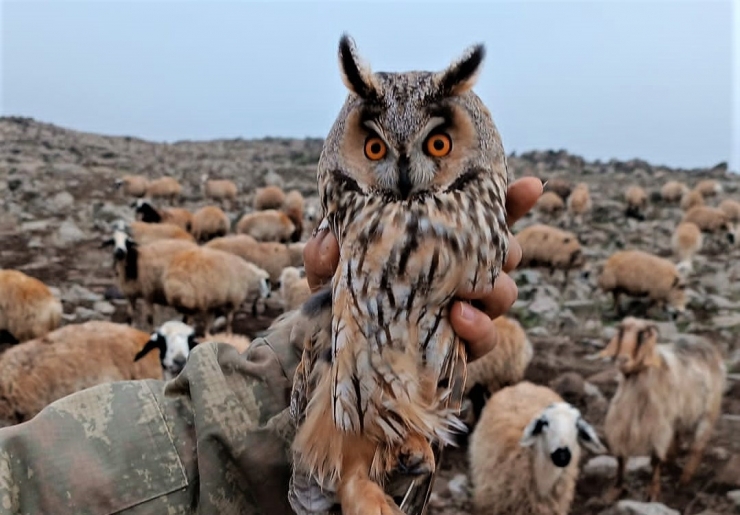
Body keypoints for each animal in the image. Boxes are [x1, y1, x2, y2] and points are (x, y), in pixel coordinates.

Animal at [596, 318, 724, 504]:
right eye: (621, 332)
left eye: (642, 335)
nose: (622, 360)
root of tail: (704, 341)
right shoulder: (621, 425)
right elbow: (620, 458)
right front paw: (614, 491)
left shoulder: (658, 427)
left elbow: (655, 459)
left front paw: (653, 492)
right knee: (677, 436)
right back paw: (672, 459)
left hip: (709, 412)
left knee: (697, 447)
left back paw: (684, 479)